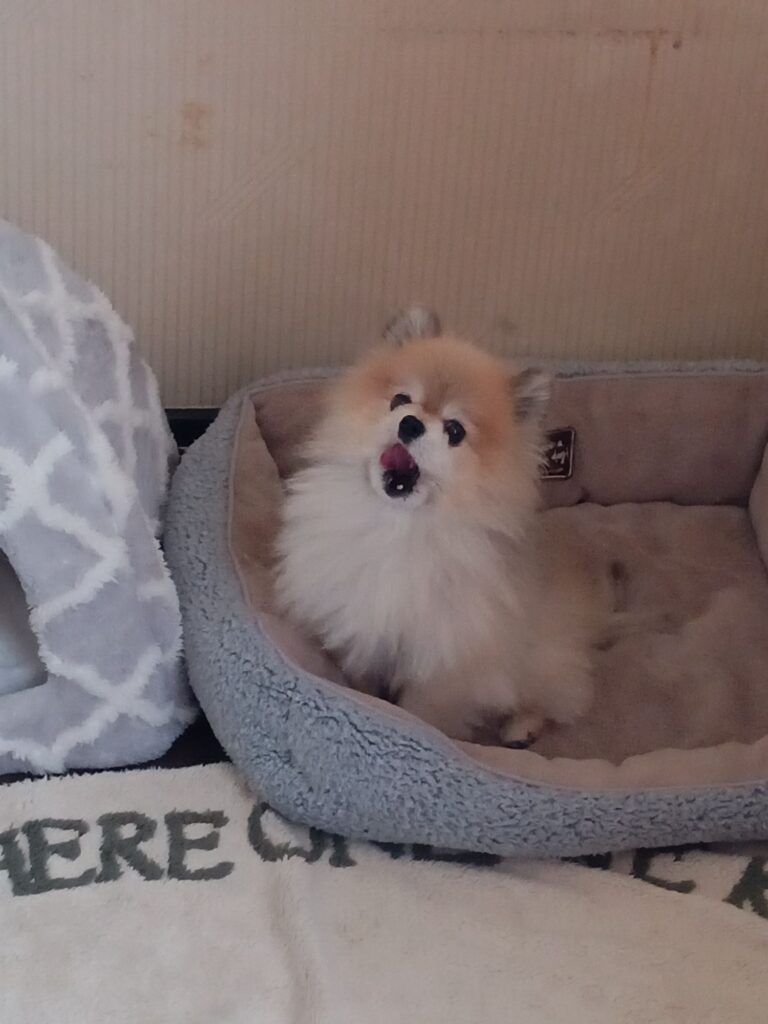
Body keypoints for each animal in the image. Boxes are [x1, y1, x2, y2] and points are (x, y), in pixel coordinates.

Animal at [274, 309, 619, 746]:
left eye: (455, 431)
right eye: (400, 401)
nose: (410, 424)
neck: (398, 527)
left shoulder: (445, 664)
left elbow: (422, 711)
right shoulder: (361, 626)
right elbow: (364, 680)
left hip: (542, 659)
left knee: (560, 696)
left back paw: (522, 726)